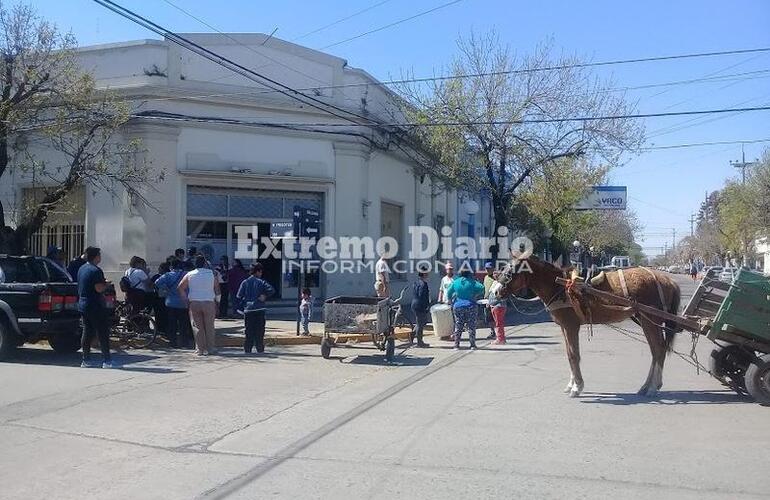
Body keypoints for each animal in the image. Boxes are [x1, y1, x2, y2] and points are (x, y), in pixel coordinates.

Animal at [492, 256, 680, 396]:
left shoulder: (571, 326)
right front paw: (572, 384)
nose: (495, 292)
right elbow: (569, 354)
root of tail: (668, 280)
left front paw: (577, 387)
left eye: (511, 271)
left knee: (658, 350)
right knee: (657, 351)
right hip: (647, 320)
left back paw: (652, 387)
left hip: (650, 320)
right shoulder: (564, 327)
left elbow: (573, 355)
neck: (561, 287)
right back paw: (648, 386)